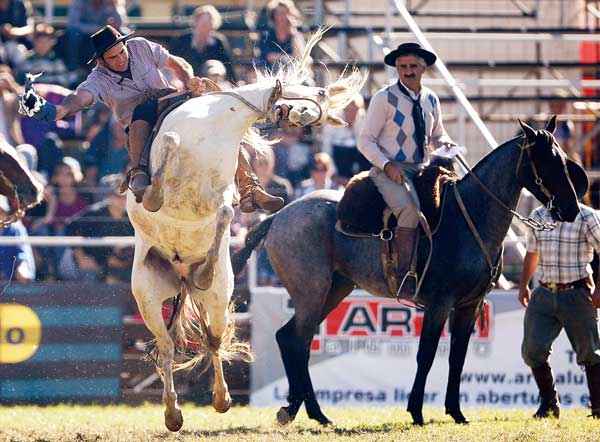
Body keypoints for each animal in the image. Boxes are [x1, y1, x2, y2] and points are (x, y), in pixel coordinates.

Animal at [127, 31, 366, 432]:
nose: (299, 117)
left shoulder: (220, 195)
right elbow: (170, 149)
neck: (214, 124)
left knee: (211, 339)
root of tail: (180, 274)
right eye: (316, 95)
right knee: (167, 346)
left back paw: (220, 398)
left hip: (219, 297)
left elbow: (225, 211)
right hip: (146, 296)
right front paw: (155, 192)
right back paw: (173, 412)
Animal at [231, 117, 580, 424]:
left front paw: (456, 412)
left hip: (334, 290)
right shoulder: (439, 304)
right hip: (311, 293)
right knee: (297, 341)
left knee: (292, 339)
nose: (572, 208)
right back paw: (304, 410)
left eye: (564, 160)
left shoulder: (470, 305)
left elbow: (457, 357)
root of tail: (279, 216)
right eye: (546, 161)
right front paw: (416, 412)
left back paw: (307, 412)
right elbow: (426, 355)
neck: (469, 217)